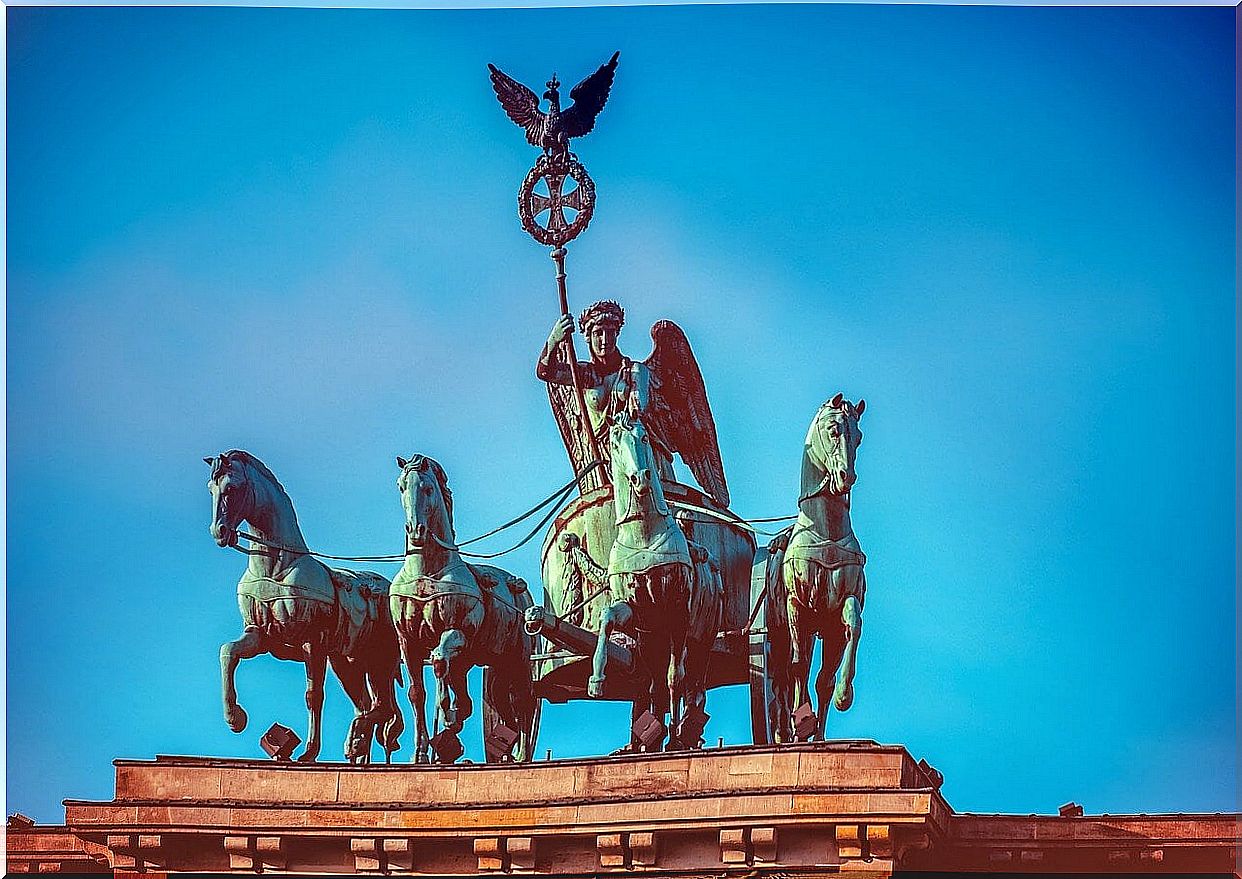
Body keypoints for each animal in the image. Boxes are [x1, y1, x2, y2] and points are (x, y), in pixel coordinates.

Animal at [206, 449, 404, 764]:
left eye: (232, 488)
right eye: (210, 489)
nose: (219, 532)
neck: (275, 567)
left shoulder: (313, 642)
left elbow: (313, 696)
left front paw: (309, 752)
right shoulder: (260, 635)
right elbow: (228, 652)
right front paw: (235, 719)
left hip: (379, 662)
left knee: (381, 708)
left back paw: (357, 741)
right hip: (348, 663)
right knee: (367, 706)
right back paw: (357, 750)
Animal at [387, 454, 534, 759]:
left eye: (428, 489)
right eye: (401, 487)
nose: (416, 531)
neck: (427, 572)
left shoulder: (457, 631)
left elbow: (440, 661)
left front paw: (449, 717)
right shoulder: (407, 643)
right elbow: (416, 693)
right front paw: (420, 752)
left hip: (517, 660)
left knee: (524, 704)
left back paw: (522, 757)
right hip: (495, 669)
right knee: (505, 710)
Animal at [586, 412, 695, 749]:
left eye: (644, 437)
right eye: (614, 442)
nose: (641, 478)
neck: (644, 535)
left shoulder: (678, 612)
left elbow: (676, 676)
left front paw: (676, 737)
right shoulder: (636, 613)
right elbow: (607, 616)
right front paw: (597, 679)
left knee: (675, 679)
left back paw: (675, 735)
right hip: (648, 643)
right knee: (653, 685)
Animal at [779, 394, 869, 739]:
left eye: (859, 437)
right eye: (833, 429)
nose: (846, 477)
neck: (825, 529)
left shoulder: (834, 619)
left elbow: (853, 626)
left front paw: (845, 695)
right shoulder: (797, 605)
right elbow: (797, 665)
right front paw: (800, 719)